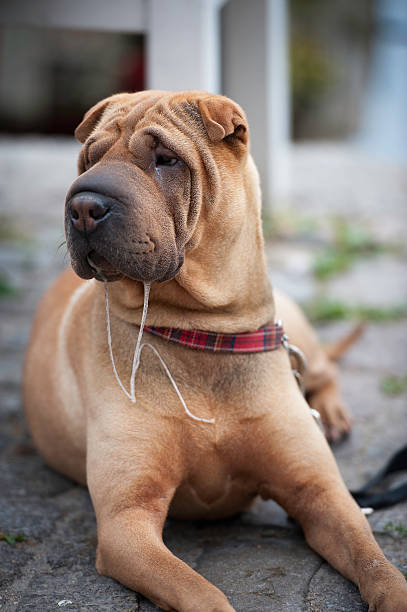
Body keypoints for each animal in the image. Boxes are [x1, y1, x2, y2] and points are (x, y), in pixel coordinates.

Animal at [23, 88, 407, 608]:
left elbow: (375, 562)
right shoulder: (127, 521)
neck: (202, 334)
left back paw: (330, 413)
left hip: (294, 327)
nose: (83, 205)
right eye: (90, 158)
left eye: (165, 159)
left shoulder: (322, 492)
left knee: (324, 369)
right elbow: (197, 590)